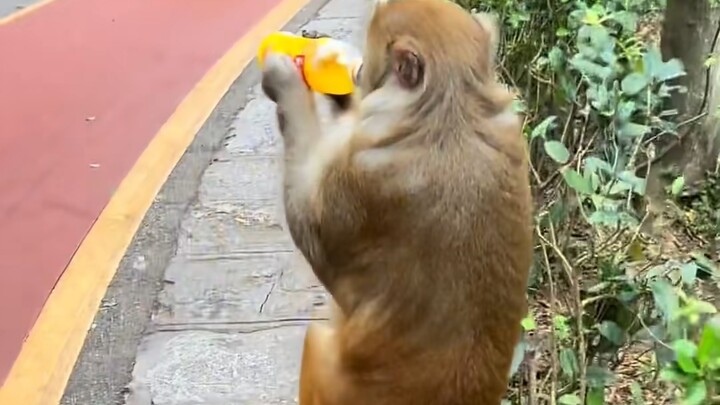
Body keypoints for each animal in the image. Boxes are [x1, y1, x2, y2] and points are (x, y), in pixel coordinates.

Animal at [260, 0, 533, 404]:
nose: (359, 71)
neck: (452, 111)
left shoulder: (360, 179)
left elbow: (309, 229)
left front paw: (287, 83)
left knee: (318, 337)